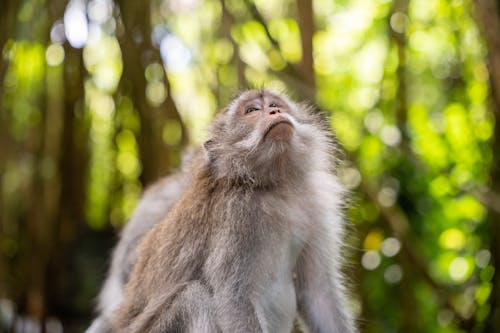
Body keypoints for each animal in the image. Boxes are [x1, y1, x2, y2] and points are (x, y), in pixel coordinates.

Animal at [109, 89, 356, 332]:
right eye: (252, 110)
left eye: (275, 104)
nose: (275, 111)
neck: (275, 188)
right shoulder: (237, 214)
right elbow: (234, 297)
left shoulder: (316, 206)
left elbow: (318, 293)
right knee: (193, 299)